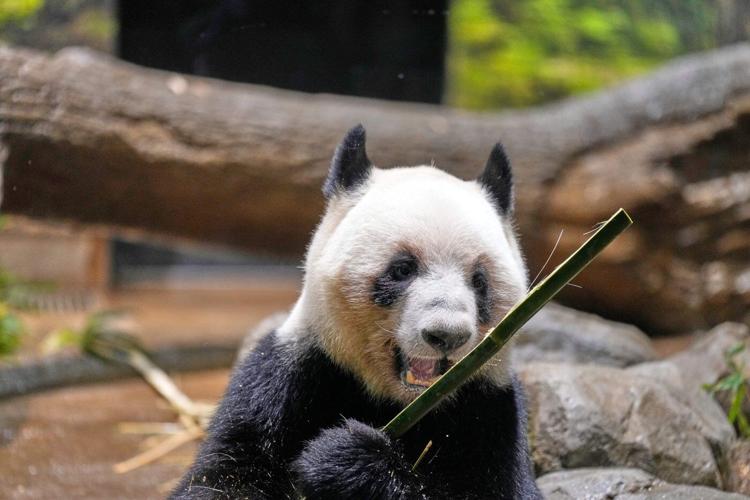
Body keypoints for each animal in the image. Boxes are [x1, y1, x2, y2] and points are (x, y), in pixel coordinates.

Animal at [171, 125, 542, 499]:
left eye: (479, 280)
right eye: (402, 269)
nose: (446, 335)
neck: (400, 401)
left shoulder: (490, 409)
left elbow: (502, 490)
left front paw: (348, 460)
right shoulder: (289, 373)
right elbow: (221, 478)